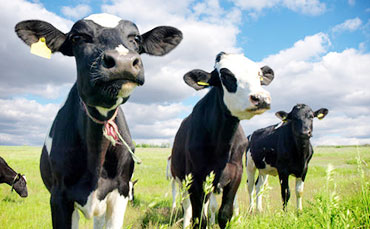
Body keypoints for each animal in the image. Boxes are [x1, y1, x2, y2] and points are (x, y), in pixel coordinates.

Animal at [171, 52, 274, 229]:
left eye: (259, 75)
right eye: (226, 75)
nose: (261, 98)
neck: (221, 145)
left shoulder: (235, 174)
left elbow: (224, 214)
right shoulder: (195, 177)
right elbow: (199, 218)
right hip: (181, 180)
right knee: (187, 207)